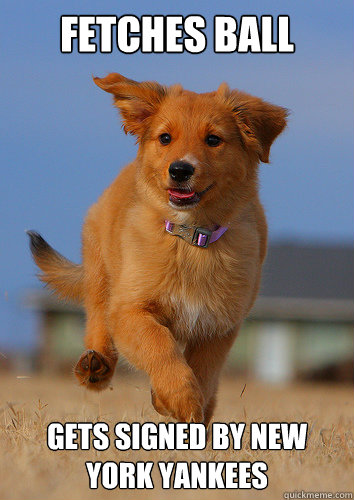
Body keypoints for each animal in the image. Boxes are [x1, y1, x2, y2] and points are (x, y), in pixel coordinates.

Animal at [27, 72, 288, 424]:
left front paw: (181, 405)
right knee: (97, 319)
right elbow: (159, 346)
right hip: (101, 272)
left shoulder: (219, 326)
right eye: (165, 138)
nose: (180, 170)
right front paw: (179, 397)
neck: (190, 238)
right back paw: (95, 366)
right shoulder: (130, 309)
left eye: (214, 140)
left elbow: (204, 372)